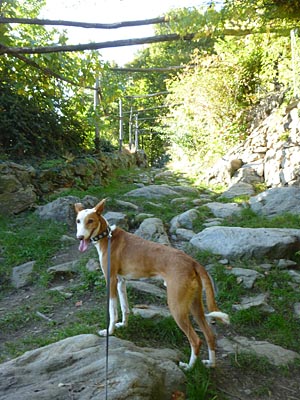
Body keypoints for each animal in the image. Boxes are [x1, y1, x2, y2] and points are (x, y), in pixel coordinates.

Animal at [75, 198, 230, 370]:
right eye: (78, 221)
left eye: (90, 221)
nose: (80, 237)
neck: (107, 237)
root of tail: (192, 262)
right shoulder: (121, 282)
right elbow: (125, 308)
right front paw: (123, 325)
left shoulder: (111, 281)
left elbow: (113, 312)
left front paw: (110, 331)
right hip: (195, 306)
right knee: (209, 335)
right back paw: (211, 363)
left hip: (177, 307)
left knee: (196, 340)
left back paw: (188, 367)